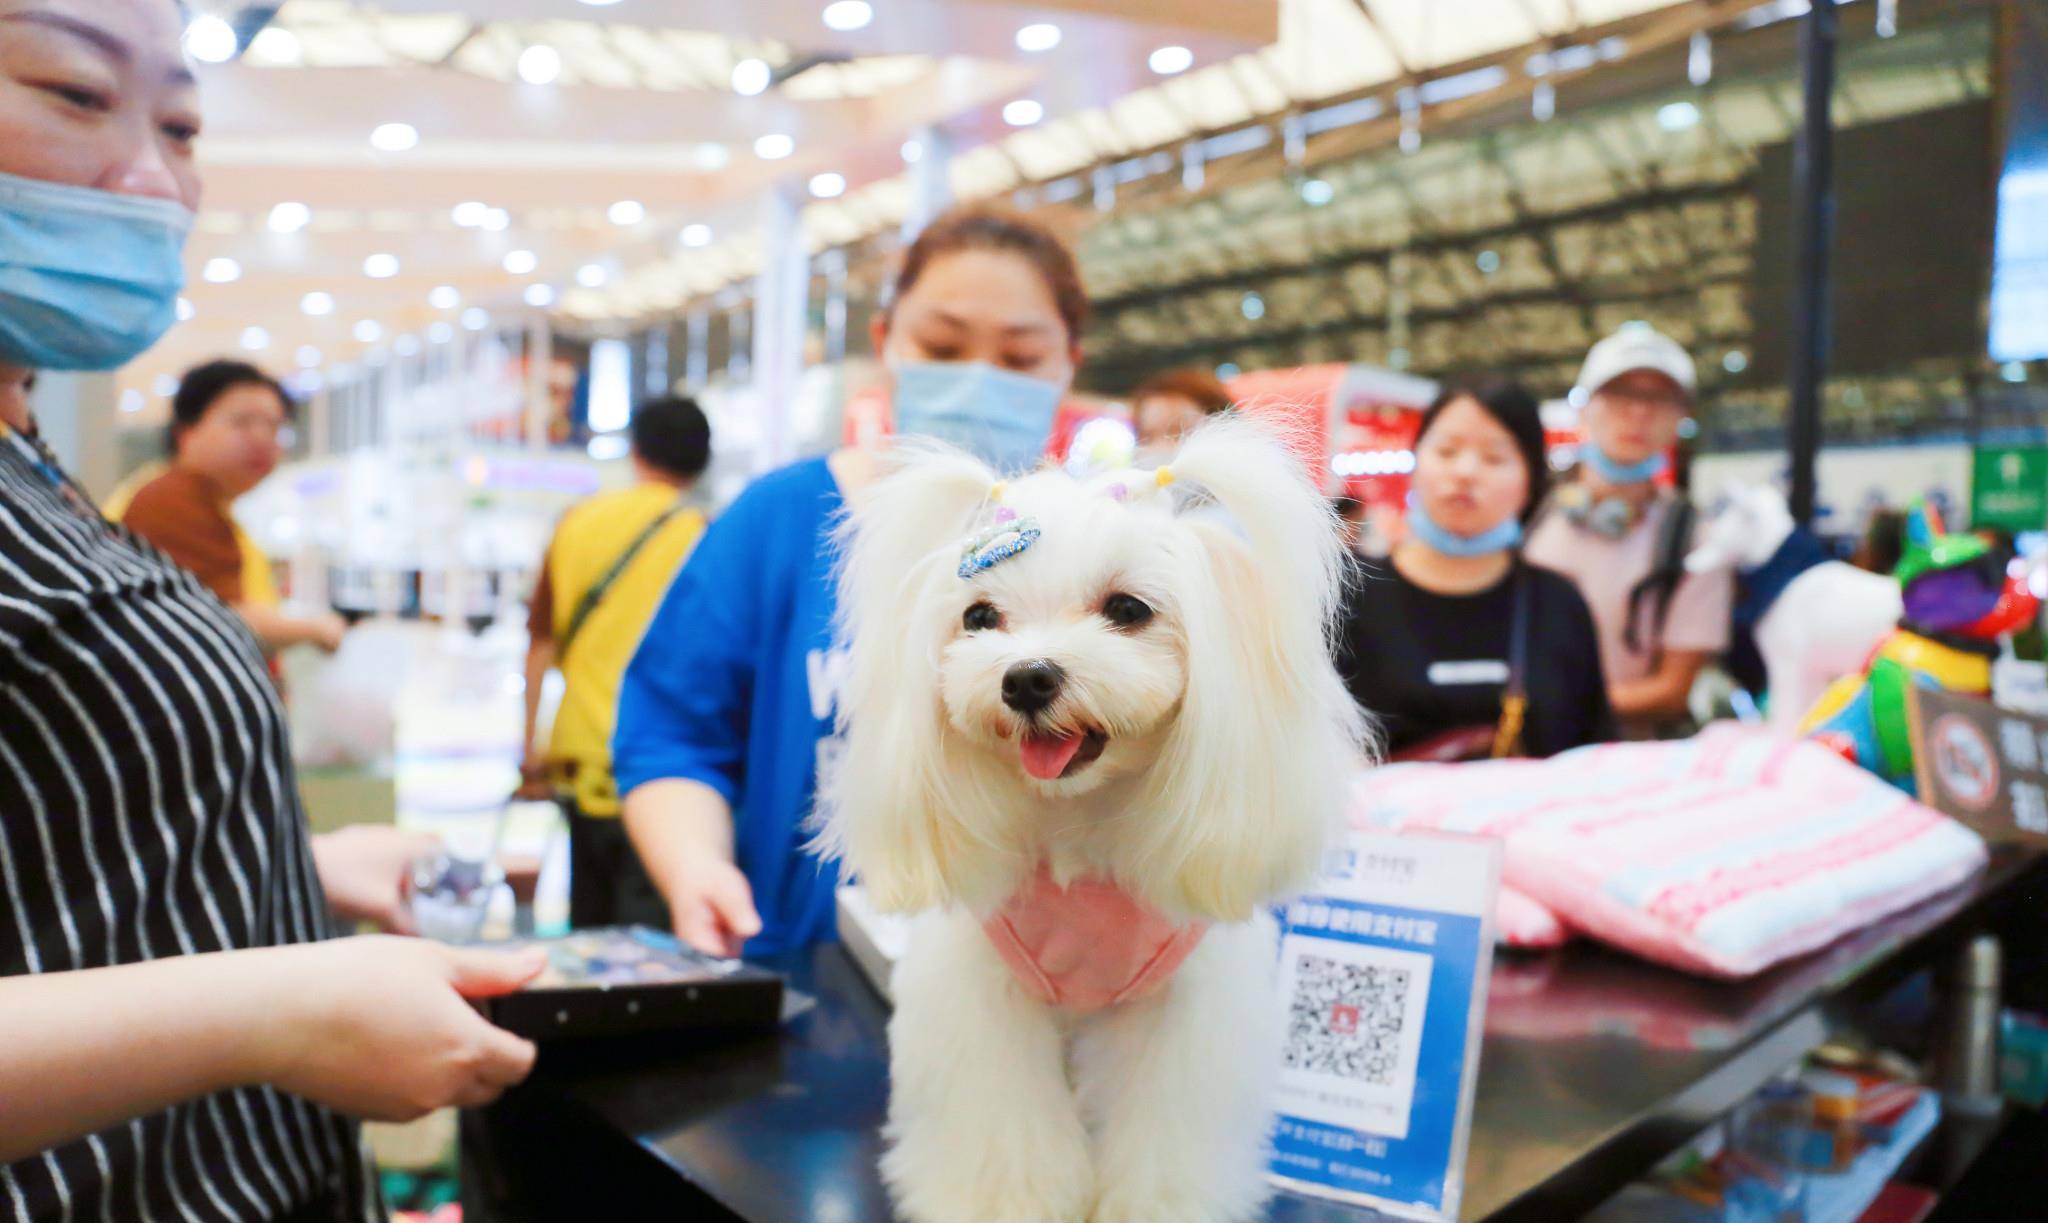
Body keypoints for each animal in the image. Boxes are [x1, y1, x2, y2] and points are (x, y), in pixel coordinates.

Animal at [819, 415, 1376, 1212]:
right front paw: (1003, 1204)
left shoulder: (1181, 1011)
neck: (1077, 822)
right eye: (979, 616)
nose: (1026, 678)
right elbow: (1001, 1127)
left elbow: (1164, 1137)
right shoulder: (985, 996)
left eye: (1127, 609)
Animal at [1679, 483, 1900, 733]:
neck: (1783, 576)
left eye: (1716, 533)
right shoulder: (1810, 670)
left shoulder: (1787, 667)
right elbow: (1805, 712)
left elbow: (1786, 717)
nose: (1685, 564)